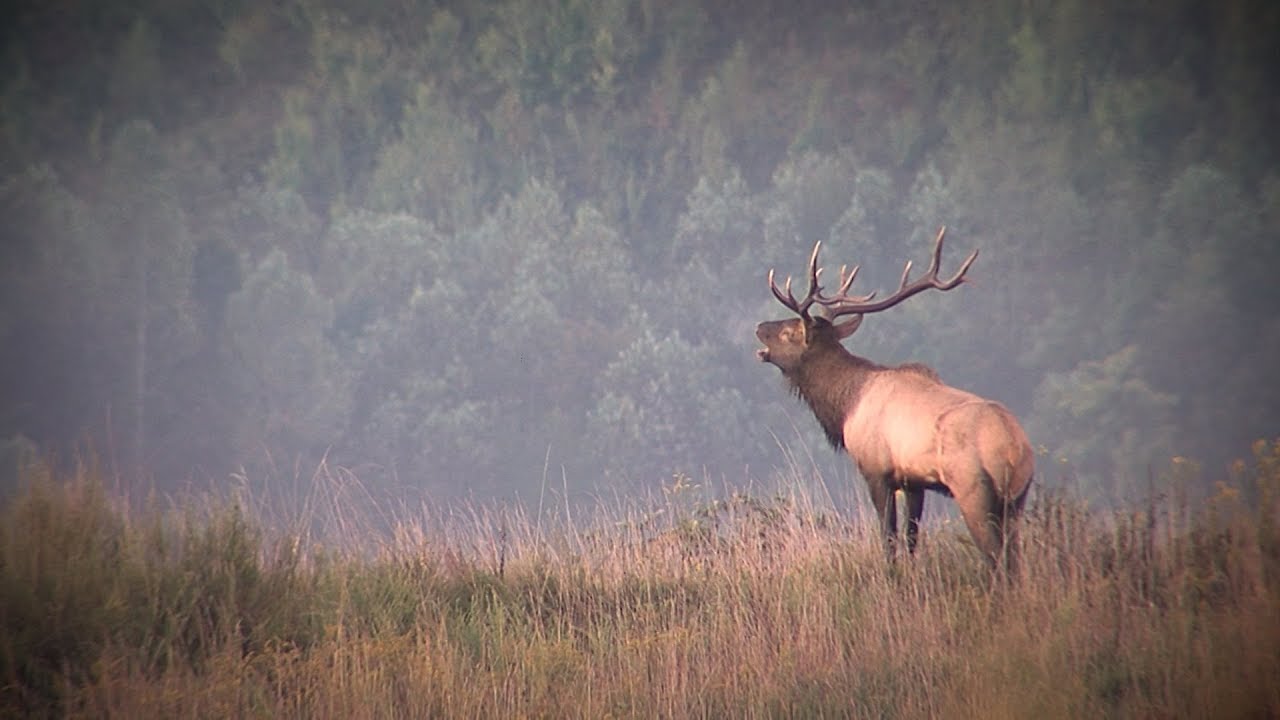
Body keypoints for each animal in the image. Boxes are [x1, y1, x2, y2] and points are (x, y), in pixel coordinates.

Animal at [755, 227, 1034, 574]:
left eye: (788, 332)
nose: (759, 326)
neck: (846, 406)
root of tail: (1015, 449)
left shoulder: (876, 470)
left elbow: (888, 538)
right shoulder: (913, 480)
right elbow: (911, 539)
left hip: (974, 490)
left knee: (997, 559)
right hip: (1016, 500)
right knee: (1015, 558)